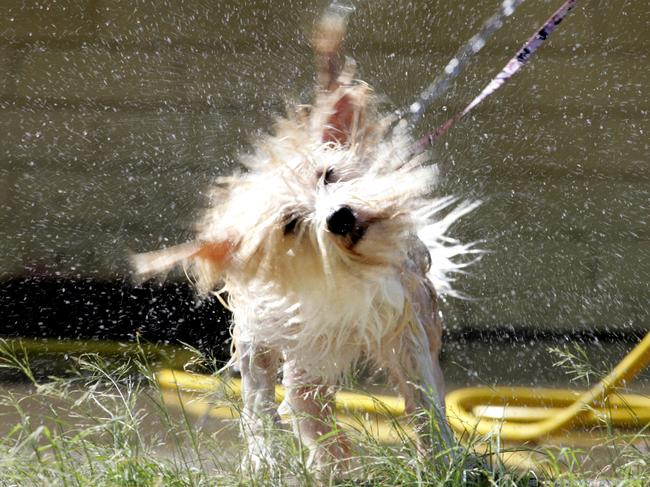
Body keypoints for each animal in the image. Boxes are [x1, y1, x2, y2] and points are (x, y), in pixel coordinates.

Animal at [132, 5, 476, 474]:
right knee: (264, 396)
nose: (340, 217)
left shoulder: (404, 325)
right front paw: (332, 464)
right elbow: (300, 409)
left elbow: (423, 398)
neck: (350, 277)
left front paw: (441, 459)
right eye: (292, 224)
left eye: (327, 174)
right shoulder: (301, 349)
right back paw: (274, 456)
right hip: (264, 340)